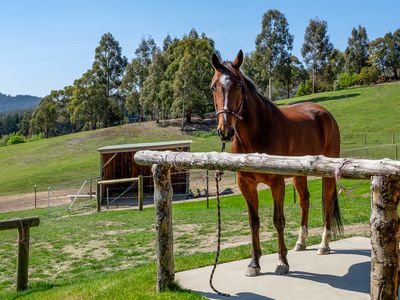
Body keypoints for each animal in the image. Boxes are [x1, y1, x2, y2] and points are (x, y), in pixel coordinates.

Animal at [211, 49, 342, 276]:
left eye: (238, 86)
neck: (256, 134)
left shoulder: (277, 182)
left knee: (327, 202)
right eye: (213, 87)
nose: (225, 131)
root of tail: (324, 113)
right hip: (300, 175)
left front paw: (282, 262)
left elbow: (278, 220)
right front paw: (254, 263)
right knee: (304, 201)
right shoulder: (245, 184)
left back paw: (324, 245)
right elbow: (253, 222)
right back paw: (301, 242)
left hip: (326, 175)